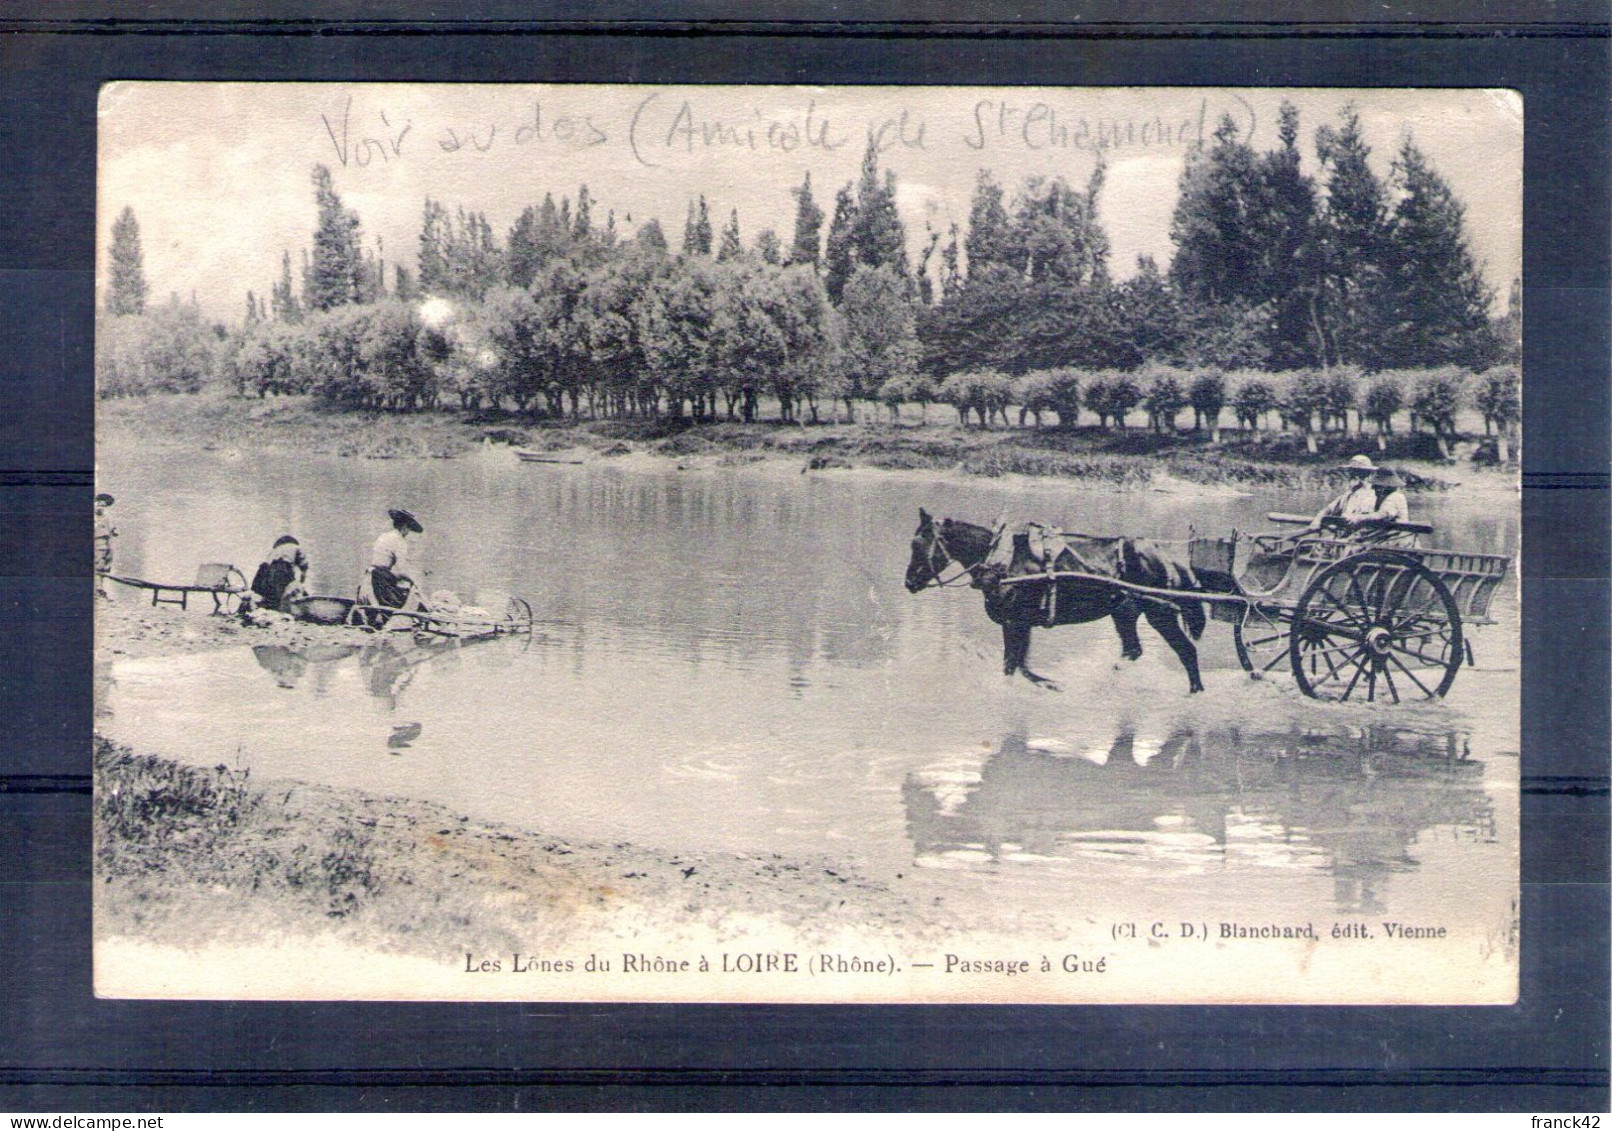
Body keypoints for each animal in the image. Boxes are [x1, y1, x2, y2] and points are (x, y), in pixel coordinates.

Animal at [902, 512, 1225, 689]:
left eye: (918, 544)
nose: (909, 583)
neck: (1002, 562)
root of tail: (1163, 555)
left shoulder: (1014, 623)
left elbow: (1013, 665)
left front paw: (1048, 684)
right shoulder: (1022, 625)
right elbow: (1019, 665)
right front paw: (1047, 683)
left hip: (1159, 612)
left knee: (1186, 651)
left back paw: (1195, 691)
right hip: (1125, 613)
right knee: (1133, 650)